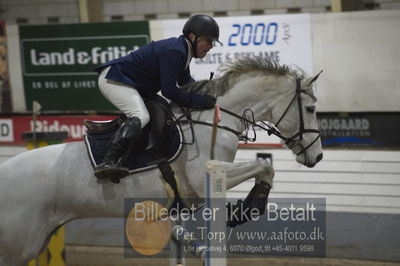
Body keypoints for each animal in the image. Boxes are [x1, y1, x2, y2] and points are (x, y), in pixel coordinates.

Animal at [0, 56, 322, 264]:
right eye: (310, 108)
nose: (317, 156)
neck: (216, 118)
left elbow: (265, 167)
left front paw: (242, 210)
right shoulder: (206, 177)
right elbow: (264, 165)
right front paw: (245, 209)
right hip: (17, 245)